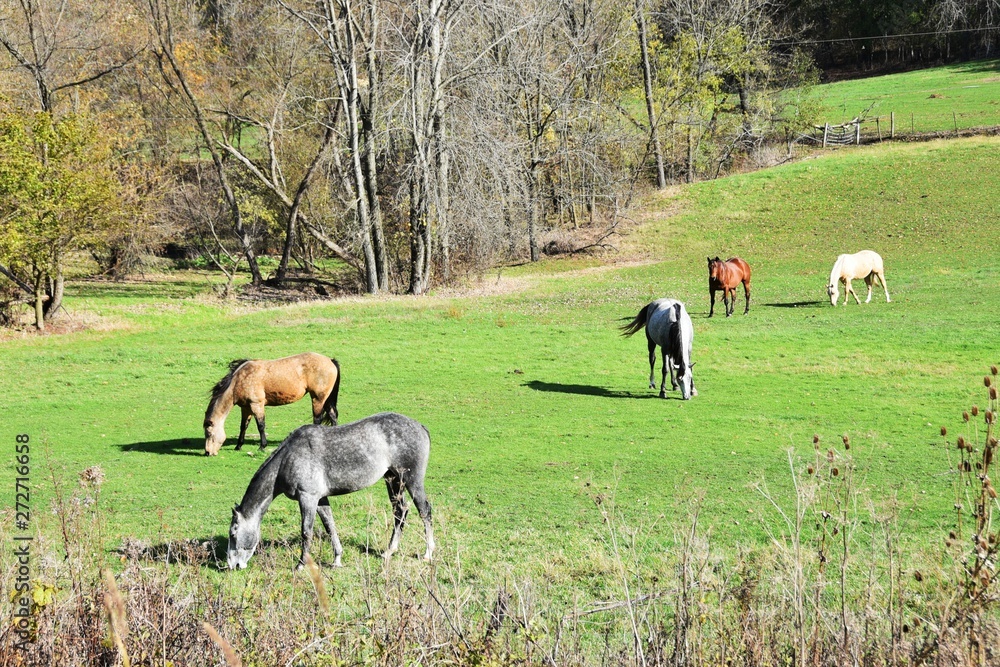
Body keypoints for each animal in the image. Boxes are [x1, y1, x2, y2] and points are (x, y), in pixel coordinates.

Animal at [204, 353, 341, 456]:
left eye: (209, 433)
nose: (207, 452)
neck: (239, 380)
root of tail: (330, 360)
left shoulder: (256, 405)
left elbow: (261, 426)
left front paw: (262, 446)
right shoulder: (246, 408)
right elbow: (243, 427)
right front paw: (238, 446)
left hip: (318, 398)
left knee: (317, 419)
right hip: (326, 399)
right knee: (333, 416)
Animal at [227, 412, 435, 570]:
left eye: (233, 534)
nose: (232, 565)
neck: (288, 458)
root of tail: (420, 427)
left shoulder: (308, 498)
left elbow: (306, 532)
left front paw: (301, 565)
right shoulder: (320, 499)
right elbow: (330, 526)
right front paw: (337, 559)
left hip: (411, 481)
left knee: (424, 511)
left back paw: (428, 553)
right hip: (393, 480)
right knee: (400, 511)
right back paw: (389, 551)